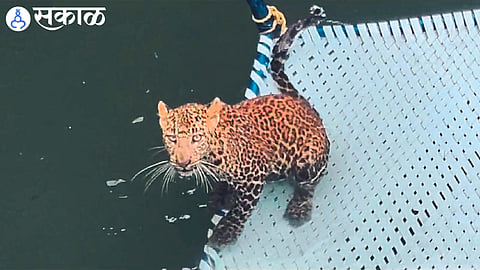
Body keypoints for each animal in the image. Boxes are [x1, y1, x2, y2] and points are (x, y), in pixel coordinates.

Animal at [152, 7, 328, 249]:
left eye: (197, 138)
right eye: (171, 138)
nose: (183, 163)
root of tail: (306, 107)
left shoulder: (255, 175)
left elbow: (241, 209)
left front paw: (226, 231)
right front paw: (224, 195)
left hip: (307, 160)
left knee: (309, 183)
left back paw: (298, 208)